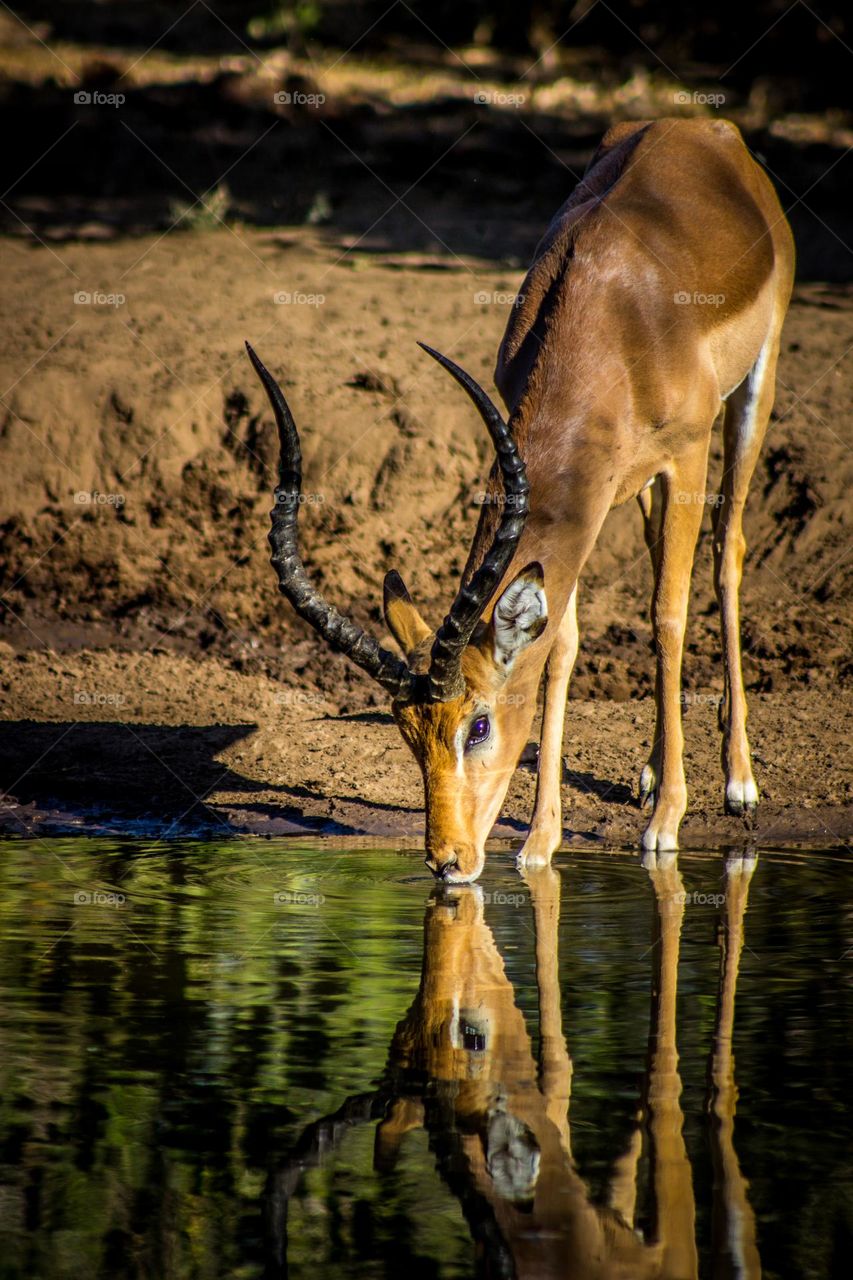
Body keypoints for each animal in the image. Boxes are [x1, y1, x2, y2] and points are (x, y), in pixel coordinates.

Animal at [248, 116, 794, 882]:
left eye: (477, 723)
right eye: (407, 729)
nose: (447, 861)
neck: (613, 323)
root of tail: (704, 129)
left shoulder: (683, 455)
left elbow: (666, 616)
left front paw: (663, 826)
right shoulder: (590, 493)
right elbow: (559, 645)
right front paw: (539, 843)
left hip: (752, 392)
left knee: (727, 553)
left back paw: (737, 782)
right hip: (636, 488)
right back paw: (649, 772)